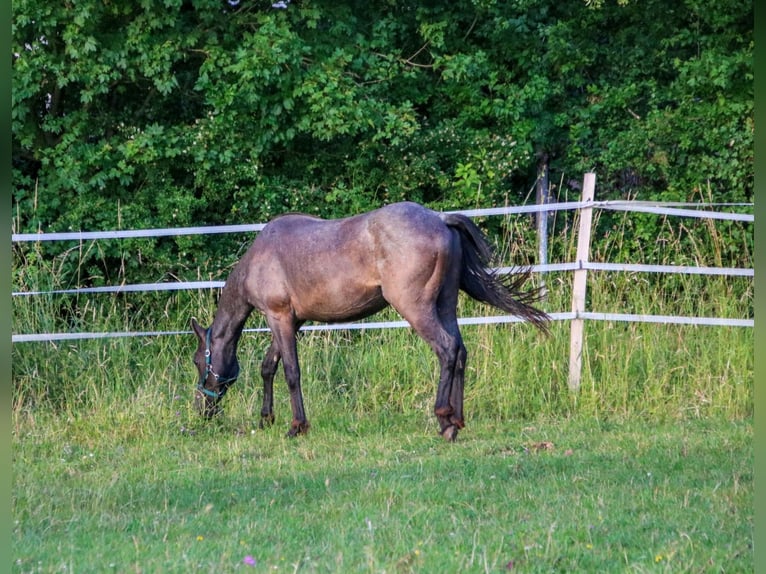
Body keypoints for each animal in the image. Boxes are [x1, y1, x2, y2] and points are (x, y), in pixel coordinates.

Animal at [191, 201, 549, 441]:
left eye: (198, 360)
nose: (202, 410)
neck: (260, 256)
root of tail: (440, 218)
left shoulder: (278, 316)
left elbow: (291, 373)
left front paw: (297, 426)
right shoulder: (293, 320)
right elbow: (269, 367)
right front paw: (266, 418)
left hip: (416, 308)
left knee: (447, 349)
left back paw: (443, 420)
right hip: (446, 305)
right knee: (460, 351)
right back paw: (457, 422)